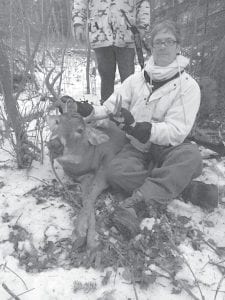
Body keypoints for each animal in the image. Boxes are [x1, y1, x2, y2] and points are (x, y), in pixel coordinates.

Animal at [45, 69, 128, 250]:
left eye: (80, 130)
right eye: (58, 121)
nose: (54, 144)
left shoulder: (106, 166)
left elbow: (91, 196)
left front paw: (86, 237)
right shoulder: (82, 177)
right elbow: (85, 198)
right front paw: (81, 233)